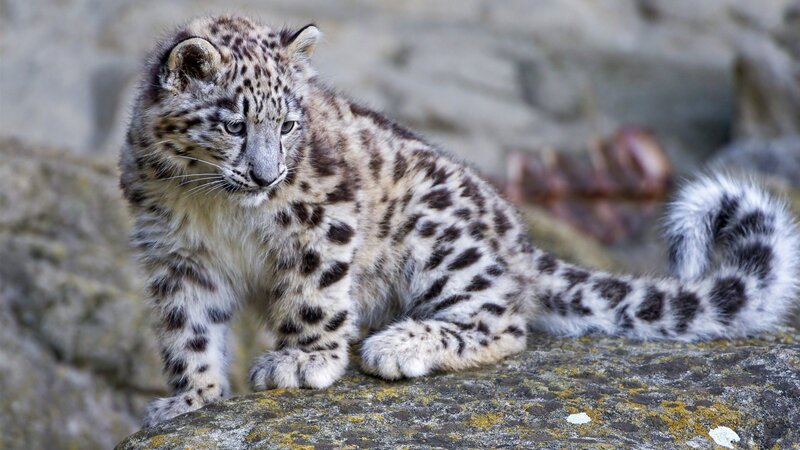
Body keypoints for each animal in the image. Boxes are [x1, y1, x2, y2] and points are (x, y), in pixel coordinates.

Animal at [119, 15, 800, 428]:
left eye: (287, 124)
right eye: (235, 124)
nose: (266, 176)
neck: (217, 208)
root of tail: (519, 239)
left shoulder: (323, 216)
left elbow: (313, 294)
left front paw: (302, 360)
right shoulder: (177, 258)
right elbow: (189, 331)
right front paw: (189, 399)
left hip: (438, 235)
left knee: (503, 322)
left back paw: (398, 344)